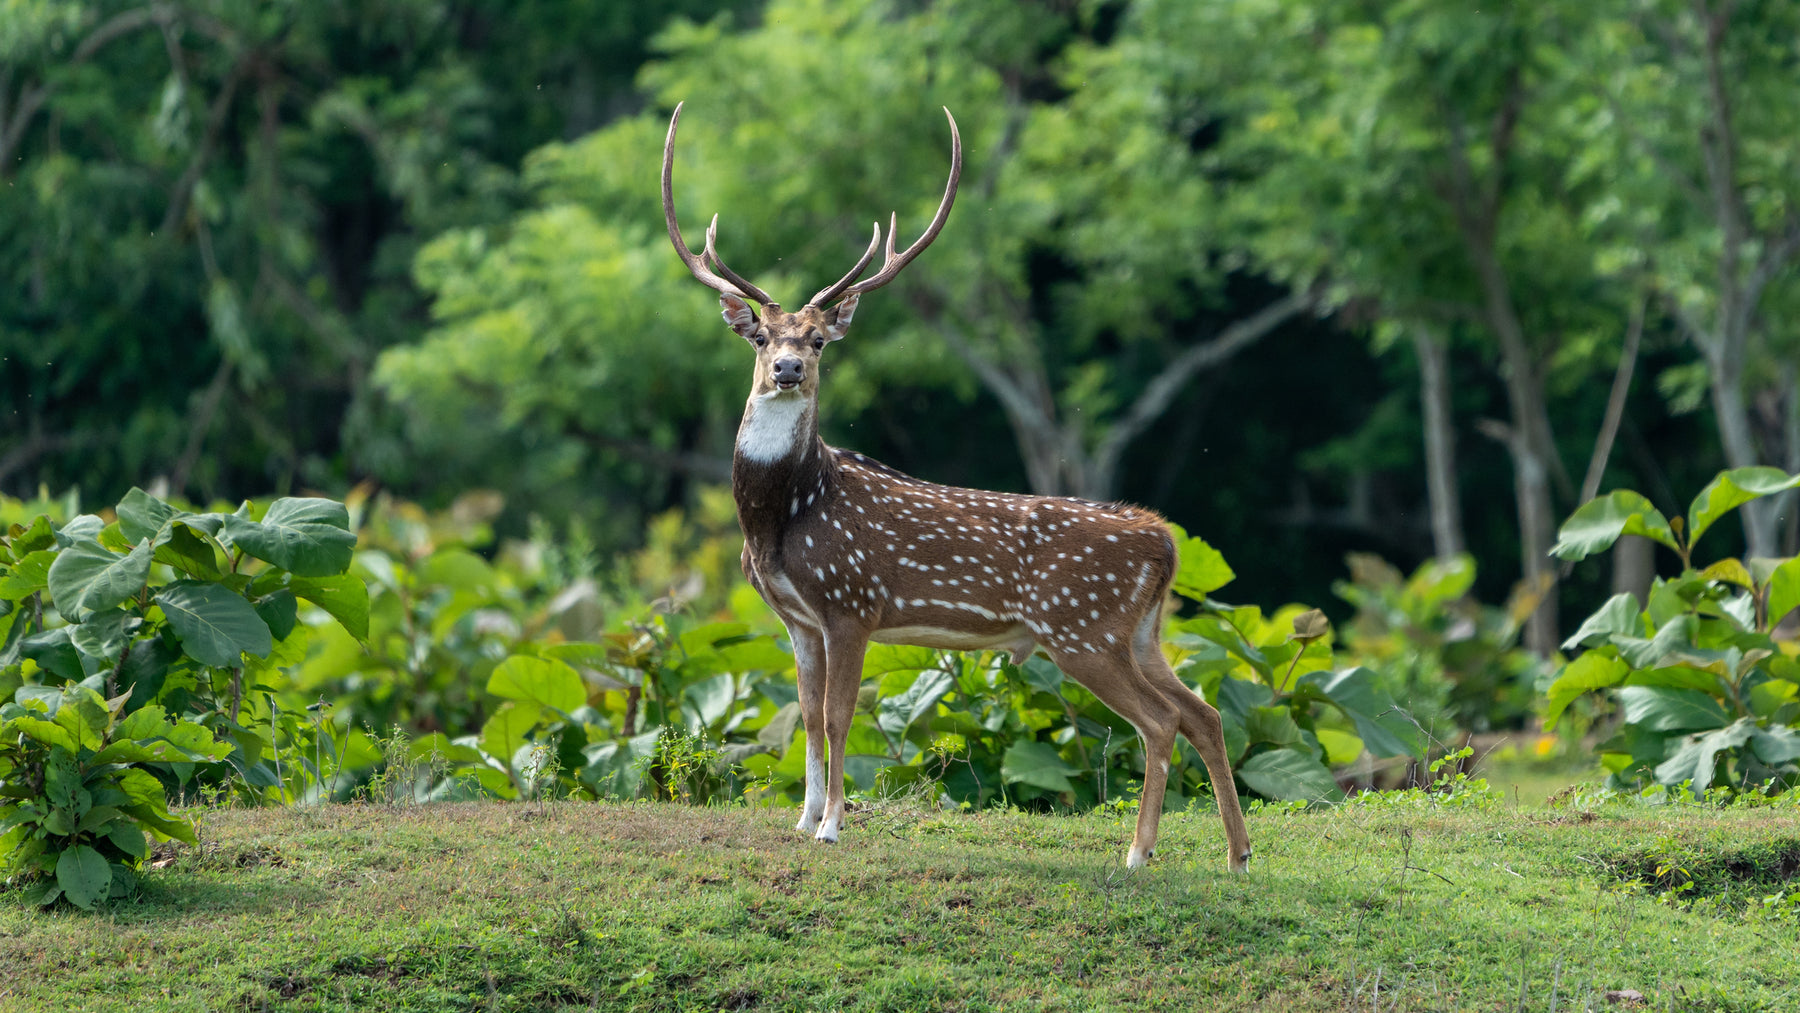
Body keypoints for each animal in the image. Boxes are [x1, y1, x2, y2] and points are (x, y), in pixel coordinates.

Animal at [660, 102, 1253, 873]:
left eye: (819, 339)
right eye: (760, 337)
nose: (788, 368)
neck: (779, 519)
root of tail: (1166, 540)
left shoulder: (854, 601)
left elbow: (838, 715)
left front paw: (833, 825)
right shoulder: (798, 618)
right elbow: (805, 714)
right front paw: (804, 815)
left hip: (1082, 628)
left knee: (1161, 719)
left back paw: (1137, 853)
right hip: (1140, 630)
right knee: (1203, 710)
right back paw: (1238, 856)